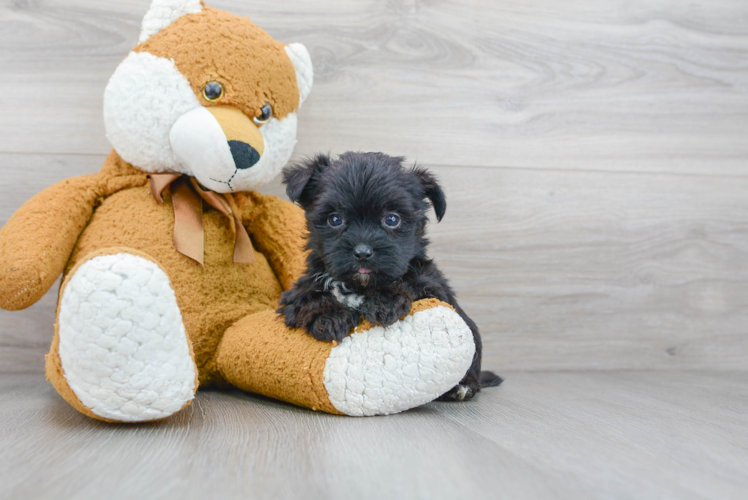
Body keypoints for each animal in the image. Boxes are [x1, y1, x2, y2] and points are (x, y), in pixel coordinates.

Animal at [278, 150, 500, 400]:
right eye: (334, 219)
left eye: (392, 219)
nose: (362, 252)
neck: (359, 285)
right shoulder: (297, 292)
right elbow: (308, 297)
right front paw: (330, 316)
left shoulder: (433, 287)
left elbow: (407, 281)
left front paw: (386, 301)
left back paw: (462, 387)